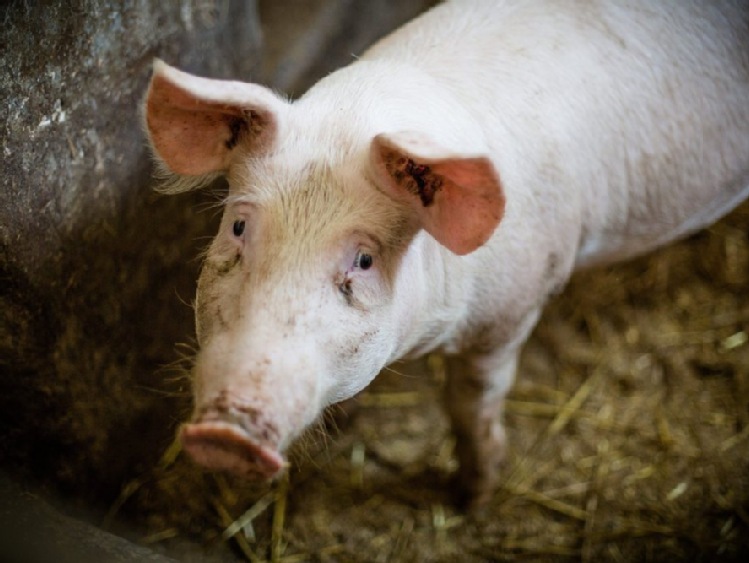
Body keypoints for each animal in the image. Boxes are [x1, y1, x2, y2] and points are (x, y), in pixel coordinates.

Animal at [143, 0, 744, 508]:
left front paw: (474, 498)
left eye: (364, 260)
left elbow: (470, 403)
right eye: (239, 226)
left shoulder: (512, 310)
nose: (226, 432)